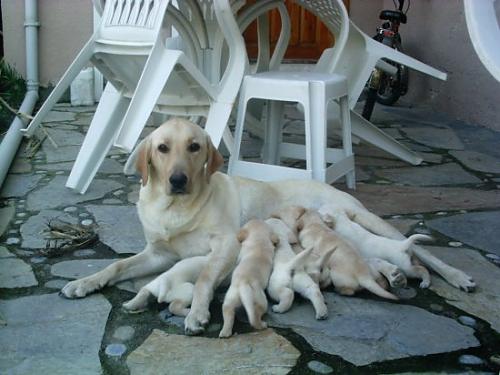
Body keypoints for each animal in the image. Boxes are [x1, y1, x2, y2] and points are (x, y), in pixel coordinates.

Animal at [60, 117, 474, 334]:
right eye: (163, 148)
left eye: (194, 147)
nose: (178, 179)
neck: (174, 207)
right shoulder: (158, 253)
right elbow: (117, 265)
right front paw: (85, 282)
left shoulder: (227, 246)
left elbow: (206, 277)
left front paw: (197, 312)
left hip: (370, 219)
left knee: (421, 250)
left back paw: (457, 276)